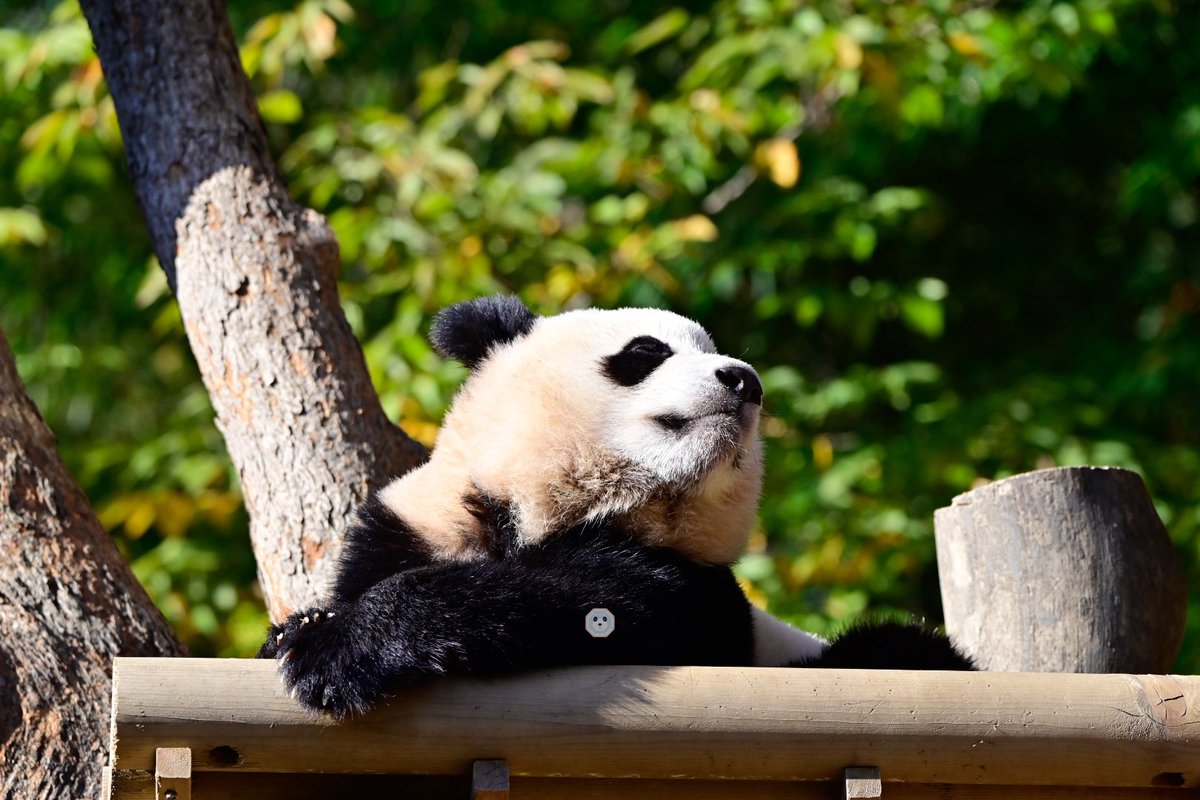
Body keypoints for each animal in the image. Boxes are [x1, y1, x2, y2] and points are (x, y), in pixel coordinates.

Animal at [260, 295, 970, 716]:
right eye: (645, 352)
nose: (745, 380)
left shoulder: (705, 596)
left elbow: (610, 602)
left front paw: (338, 651)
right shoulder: (418, 525)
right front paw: (303, 631)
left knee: (900, 648)